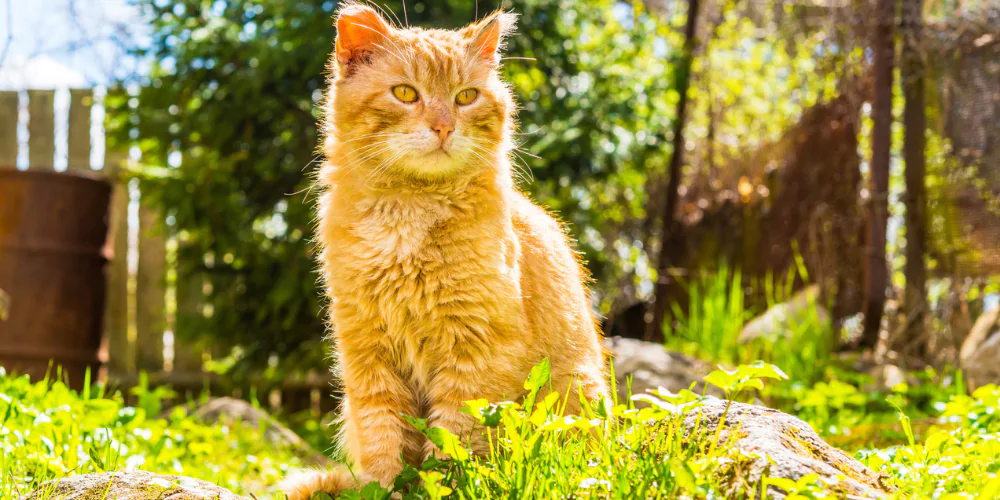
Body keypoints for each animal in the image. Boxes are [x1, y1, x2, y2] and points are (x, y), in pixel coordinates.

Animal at [282, 5, 608, 498]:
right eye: (405, 93)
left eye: (466, 97)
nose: (443, 126)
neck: (407, 213)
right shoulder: (368, 352)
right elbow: (383, 440)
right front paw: (386, 487)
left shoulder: (475, 349)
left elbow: (452, 443)